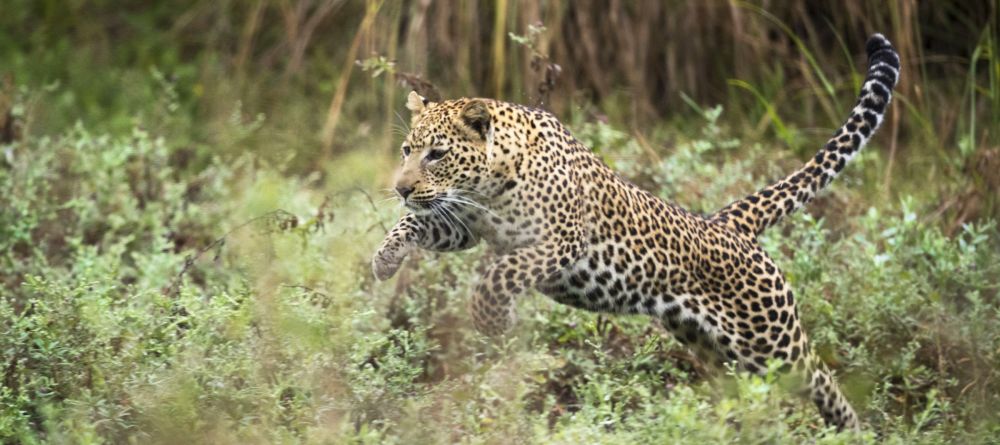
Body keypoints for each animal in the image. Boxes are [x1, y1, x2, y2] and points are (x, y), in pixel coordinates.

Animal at [372, 33, 904, 428]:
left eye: (437, 154)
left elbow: (501, 274)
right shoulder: (462, 223)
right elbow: (416, 222)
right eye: (406, 150)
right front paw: (385, 258)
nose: (399, 186)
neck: (489, 179)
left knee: (822, 380)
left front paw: (492, 321)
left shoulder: (562, 240)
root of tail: (727, 225)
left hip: (773, 340)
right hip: (715, 349)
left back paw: (853, 432)